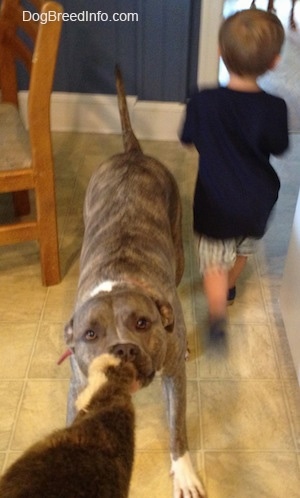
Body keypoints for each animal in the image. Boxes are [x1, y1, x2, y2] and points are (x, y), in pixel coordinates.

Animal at [64, 66, 205, 498]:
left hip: (177, 249)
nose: (123, 349)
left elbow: (177, 430)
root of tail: (133, 152)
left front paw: (184, 472)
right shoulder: (77, 387)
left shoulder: (175, 377)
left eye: (143, 323)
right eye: (90, 335)